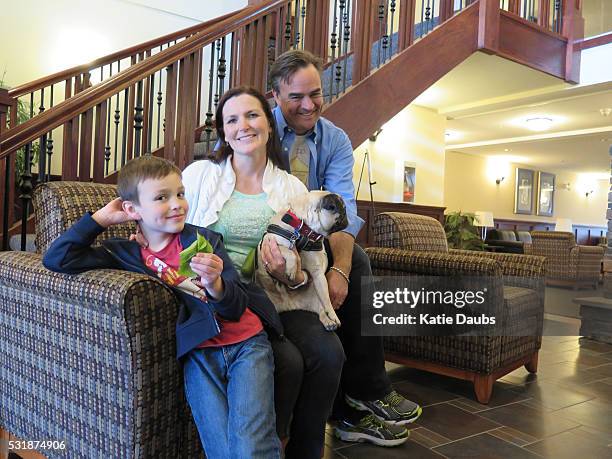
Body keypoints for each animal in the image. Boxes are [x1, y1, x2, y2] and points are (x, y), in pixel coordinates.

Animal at [256, 190, 346, 330]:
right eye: (341, 209)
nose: (346, 215)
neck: (303, 230)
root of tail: (290, 305)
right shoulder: (273, 245)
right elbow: (290, 252)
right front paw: (292, 269)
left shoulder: (318, 275)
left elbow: (327, 300)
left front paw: (333, 316)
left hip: (316, 294)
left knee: (322, 309)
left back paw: (328, 321)